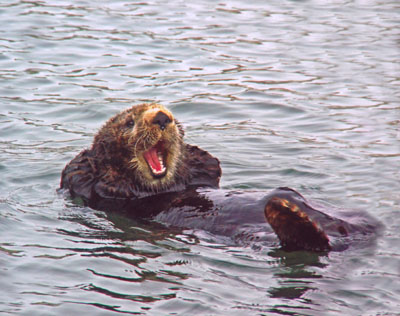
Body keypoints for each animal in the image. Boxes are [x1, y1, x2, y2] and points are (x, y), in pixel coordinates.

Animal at [60, 103, 382, 252]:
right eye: (129, 122)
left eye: (167, 113)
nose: (162, 117)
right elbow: (92, 178)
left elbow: (207, 168)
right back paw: (286, 211)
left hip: (361, 219)